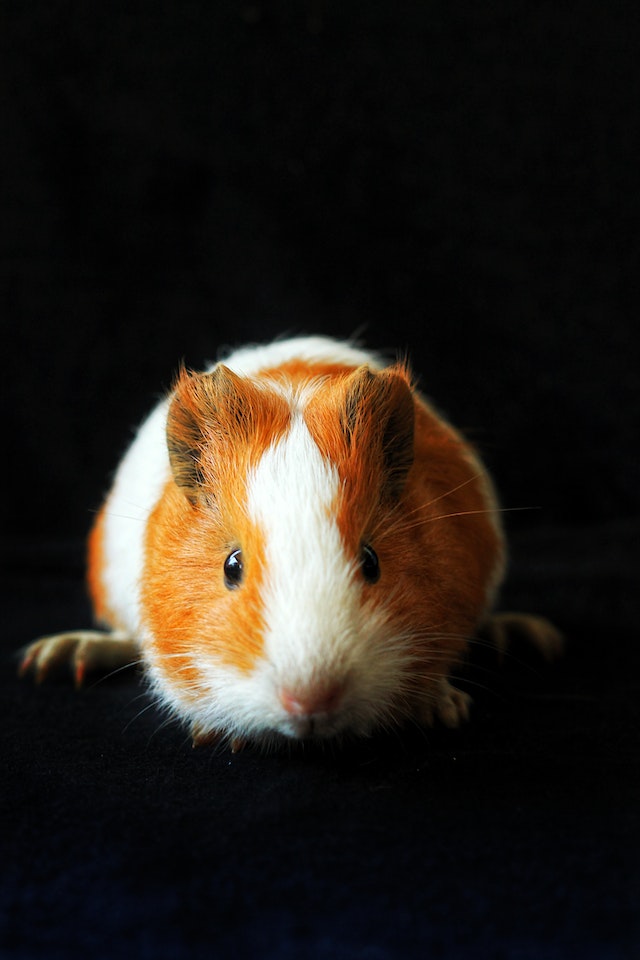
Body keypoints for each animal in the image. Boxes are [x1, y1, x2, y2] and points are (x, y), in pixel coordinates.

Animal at [20, 336, 562, 750]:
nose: (311, 700)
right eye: (232, 566)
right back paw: (59, 656)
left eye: (371, 562)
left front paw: (445, 709)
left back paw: (526, 636)